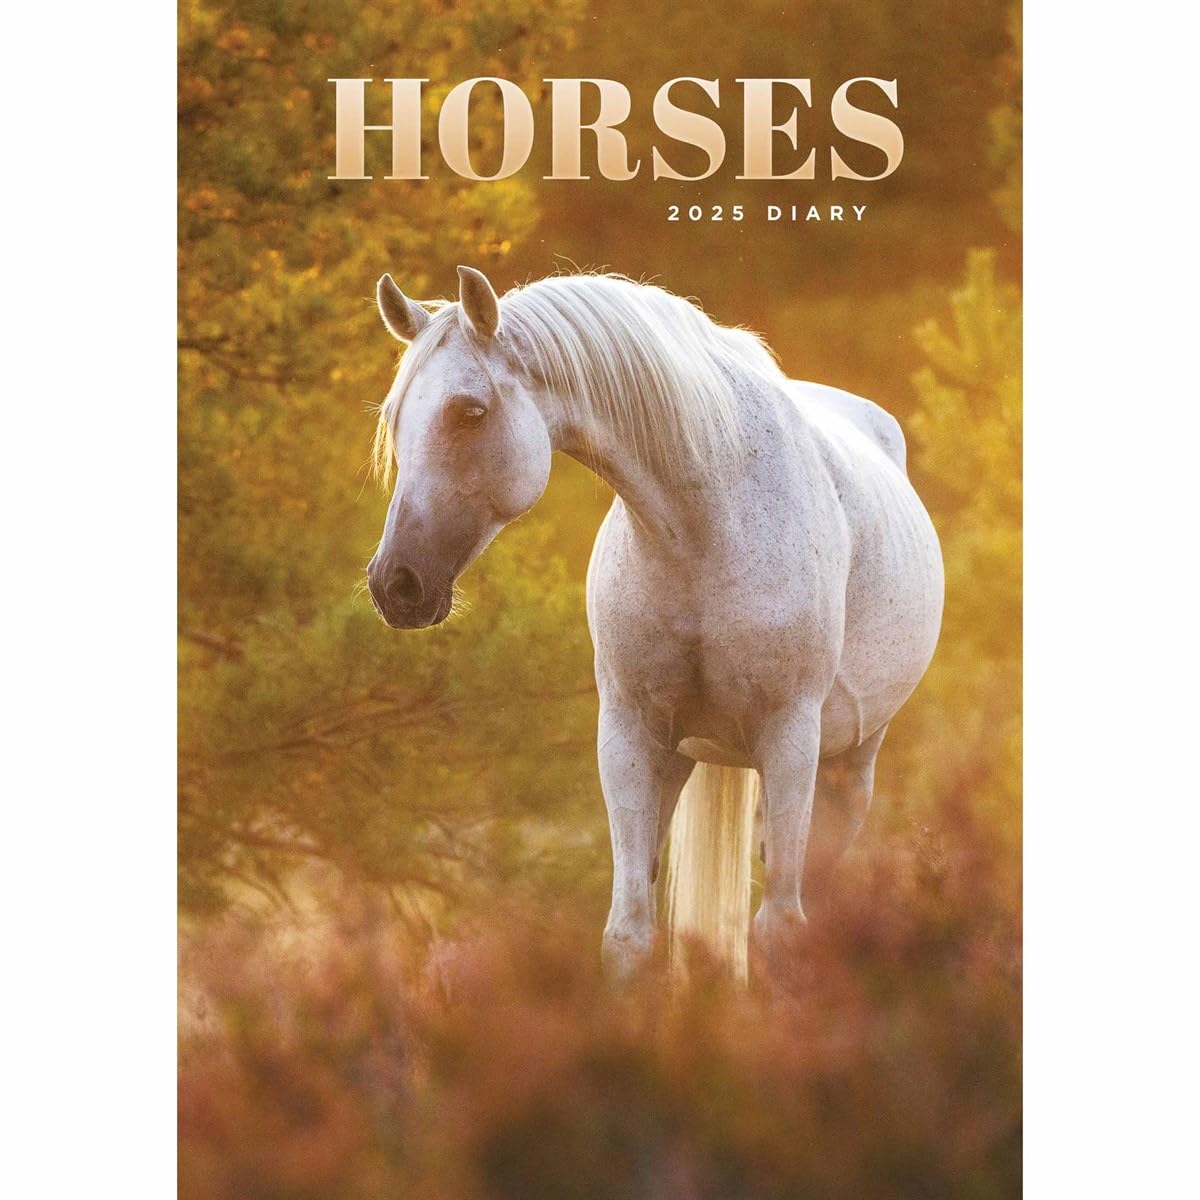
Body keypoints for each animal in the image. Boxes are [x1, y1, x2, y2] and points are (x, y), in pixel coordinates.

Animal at [366, 266, 944, 982]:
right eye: (395, 415)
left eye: (469, 412)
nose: (395, 585)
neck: (707, 523)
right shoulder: (631, 735)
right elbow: (629, 934)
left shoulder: (791, 737)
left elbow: (780, 932)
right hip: (684, 762)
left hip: (846, 770)